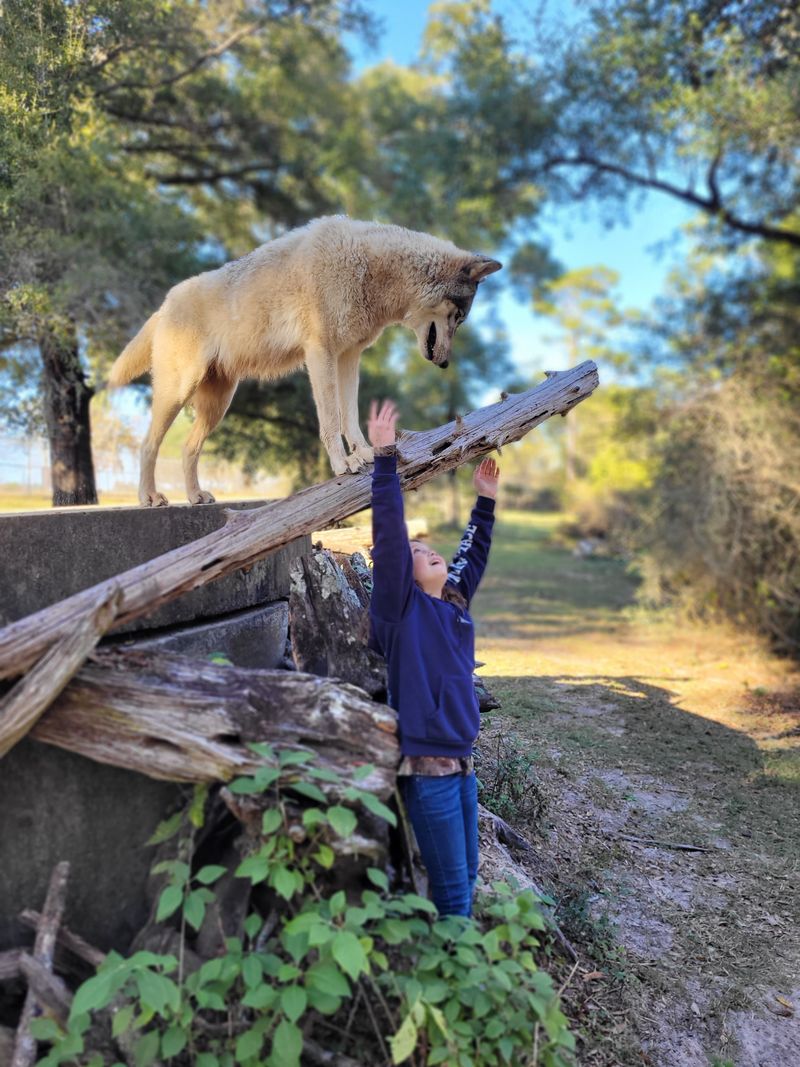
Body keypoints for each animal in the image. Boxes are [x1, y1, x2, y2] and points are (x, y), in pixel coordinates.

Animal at [108, 216, 501, 505]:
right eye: (458, 317)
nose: (446, 365)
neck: (372, 269)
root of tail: (164, 305)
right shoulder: (320, 354)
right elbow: (330, 419)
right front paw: (343, 464)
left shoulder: (349, 357)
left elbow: (350, 416)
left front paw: (365, 454)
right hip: (177, 393)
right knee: (148, 444)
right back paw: (149, 497)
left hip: (217, 406)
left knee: (188, 448)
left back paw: (195, 497)